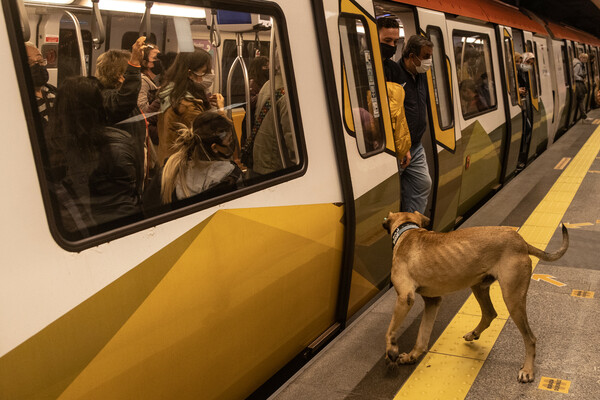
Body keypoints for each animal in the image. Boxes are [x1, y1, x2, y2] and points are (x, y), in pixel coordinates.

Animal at [382, 211, 568, 382]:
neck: (407, 231)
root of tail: (521, 241)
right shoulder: (433, 301)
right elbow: (422, 336)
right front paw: (411, 356)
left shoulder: (405, 297)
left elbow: (390, 329)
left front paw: (391, 351)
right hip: (479, 285)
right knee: (489, 313)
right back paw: (473, 334)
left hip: (512, 298)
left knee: (530, 338)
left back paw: (528, 370)